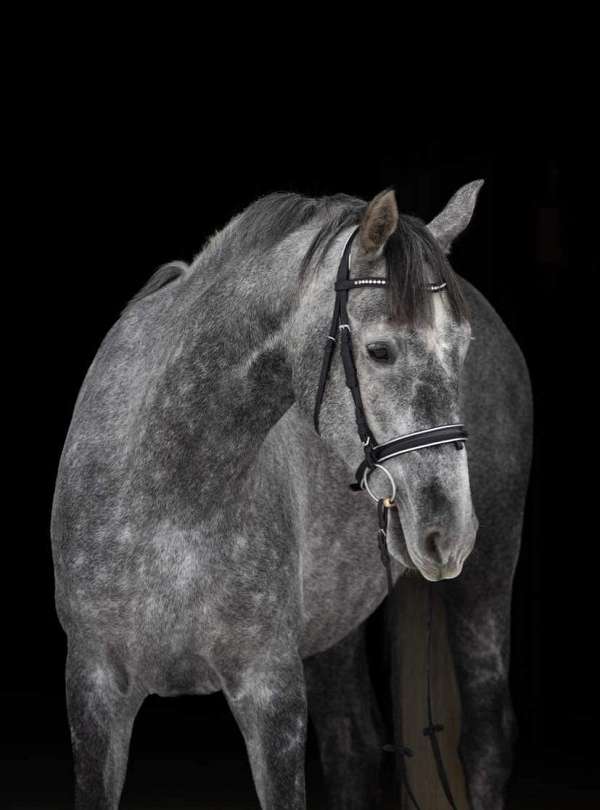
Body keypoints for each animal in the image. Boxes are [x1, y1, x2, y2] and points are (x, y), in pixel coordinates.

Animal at [50, 180, 532, 809]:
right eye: (379, 351)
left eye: (464, 348)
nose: (449, 531)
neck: (170, 492)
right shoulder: (94, 692)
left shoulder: (271, 692)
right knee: (353, 745)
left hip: (486, 579)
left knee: (485, 742)